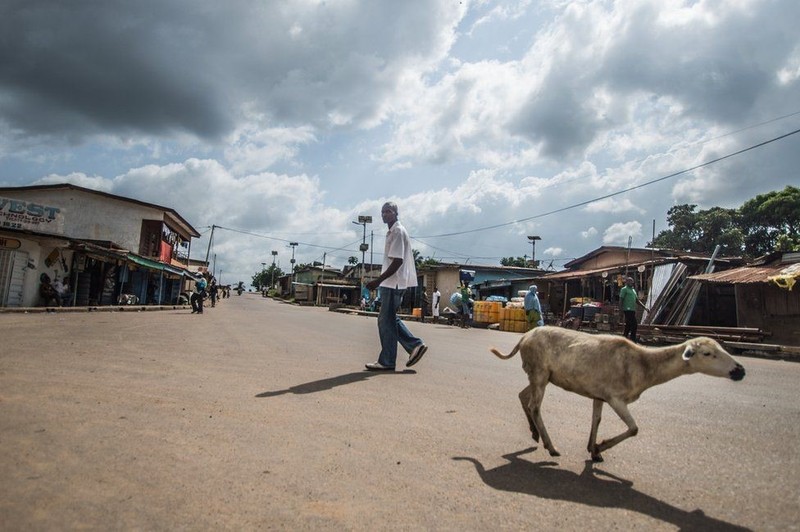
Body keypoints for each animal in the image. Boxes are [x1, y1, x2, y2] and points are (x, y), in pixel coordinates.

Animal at [490, 324, 748, 462]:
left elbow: (596, 419)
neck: (644, 366)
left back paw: (535, 434)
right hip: (540, 372)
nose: (740, 370)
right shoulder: (615, 397)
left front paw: (593, 449)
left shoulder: (599, 394)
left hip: (539, 375)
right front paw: (600, 447)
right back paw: (551, 447)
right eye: (707, 353)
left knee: (524, 396)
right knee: (534, 406)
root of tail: (525, 336)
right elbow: (634, 428)